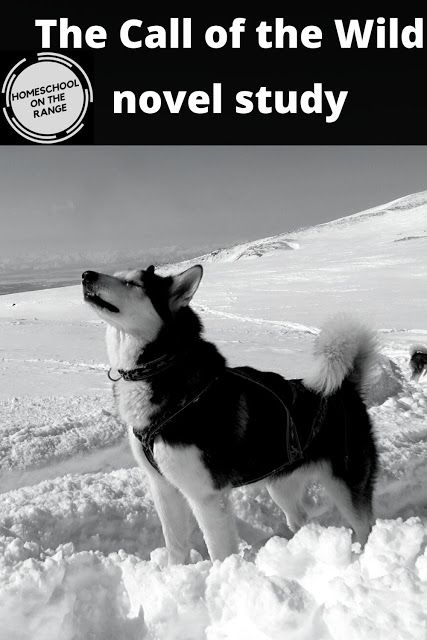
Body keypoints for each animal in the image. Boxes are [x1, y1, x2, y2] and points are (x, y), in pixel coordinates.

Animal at [83, 264, 378, 564]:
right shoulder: (163, 487)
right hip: (281, 484)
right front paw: (174, 571)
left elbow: (219, 551)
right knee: (300, 516)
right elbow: (175, 545)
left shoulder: (206, 495)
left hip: (345, 484)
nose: (86, 275)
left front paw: (221, 573)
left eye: (133, 284)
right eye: (119, 275)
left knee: (365, 526)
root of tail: (345, 388)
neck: (162, 367)